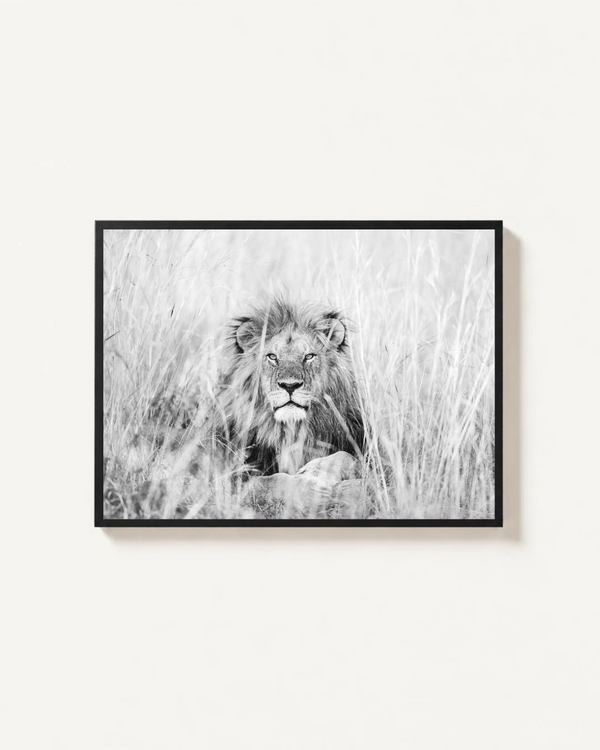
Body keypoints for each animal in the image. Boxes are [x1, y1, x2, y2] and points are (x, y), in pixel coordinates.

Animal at [205, 296, 365, 480]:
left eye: (309, 356)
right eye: (272, 357)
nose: (290, 385)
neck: (291, 432)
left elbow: (347, 457)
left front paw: (316, 470)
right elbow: (271, 479)